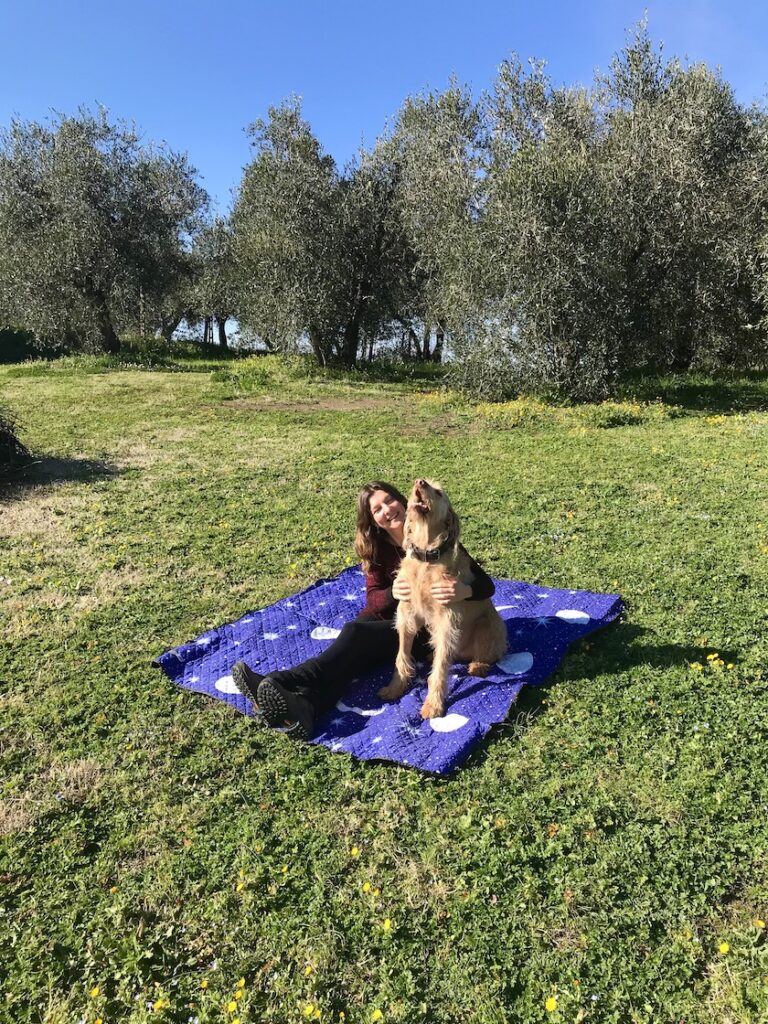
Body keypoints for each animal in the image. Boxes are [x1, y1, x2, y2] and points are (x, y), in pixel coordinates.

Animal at [380, 479, 512, 720]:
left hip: (487, 625)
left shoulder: (446, 622)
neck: (426, 558)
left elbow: (440, 669)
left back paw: (478, 665)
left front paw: (433, 704)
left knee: (491, 654)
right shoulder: (406, 616)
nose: (420, 482)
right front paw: (395, 688)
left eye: (439, 492)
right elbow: (401, 657)